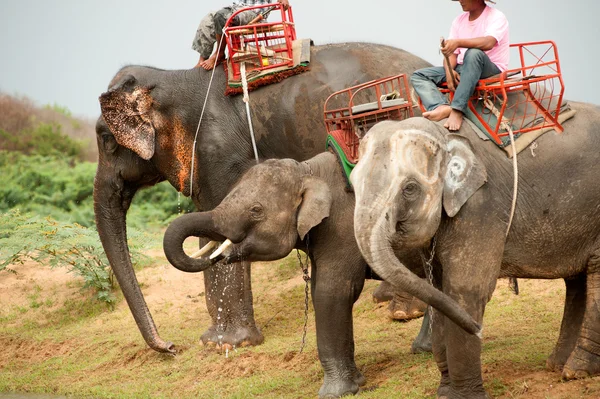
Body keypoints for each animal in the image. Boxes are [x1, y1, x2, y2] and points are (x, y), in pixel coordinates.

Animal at [94, 42, 432, 354]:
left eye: (107, 140)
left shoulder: (219, 152)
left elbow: (218, 229)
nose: (170, 346)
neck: (171, 79)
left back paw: (402, 312)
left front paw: (226, 344)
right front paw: (217, 342)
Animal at [162, 151, 480, 399]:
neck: (306, 170)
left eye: (255, 210)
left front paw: (336, 392)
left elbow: (331, 292)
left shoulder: (343, 228)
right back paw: (422, 349)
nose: (219, 253)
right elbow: (319, 291)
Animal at [350, 108, 600, 398]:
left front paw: (464, 396)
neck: (444, 136)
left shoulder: (482, 206)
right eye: (352, 184)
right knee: (577, 280)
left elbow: (464, 291)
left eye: (409, 189)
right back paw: (557, 365)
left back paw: (576, 370)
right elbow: (439, 292)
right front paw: (445, 392)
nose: (480, 329)